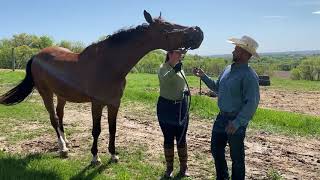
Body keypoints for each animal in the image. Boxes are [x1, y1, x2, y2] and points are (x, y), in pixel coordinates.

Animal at [0, 10, 204, 165]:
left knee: (60, 116)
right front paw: (95, 158)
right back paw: (63, 148)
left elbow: (112, 129)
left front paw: (113, 155)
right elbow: (96, 130)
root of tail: (36, 56)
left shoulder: (114, 103)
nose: (199, 31)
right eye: (166, 27)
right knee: (54, 119)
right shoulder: (97, 104)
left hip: (62, 95)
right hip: (46, 93)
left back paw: (66, 143)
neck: (109, 65)